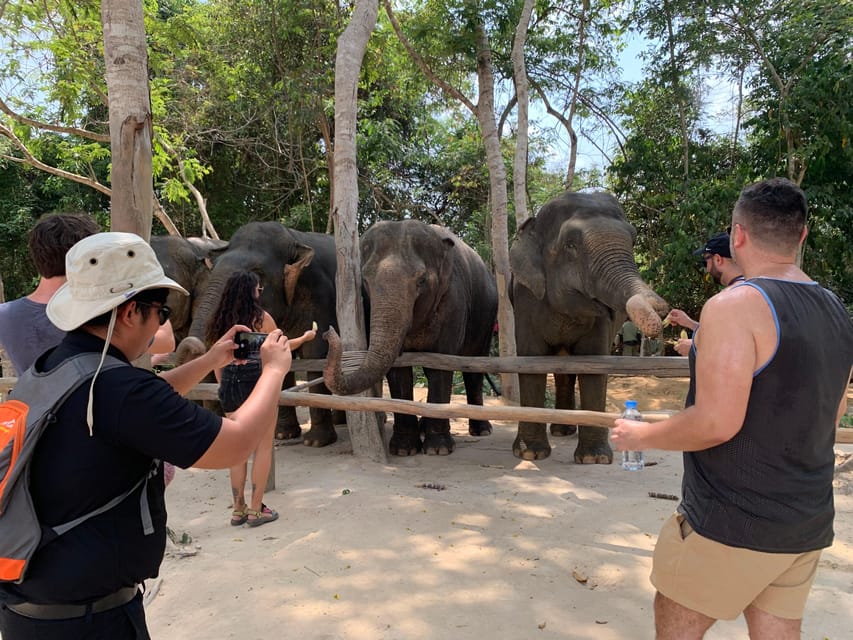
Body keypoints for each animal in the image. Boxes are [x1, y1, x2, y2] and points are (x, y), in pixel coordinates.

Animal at [185, 220, 342, 444]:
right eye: (212, 271)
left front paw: (316, 441)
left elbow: (316, 353)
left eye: (258, 276)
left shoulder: (323, 298)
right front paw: (283, 434)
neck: (295, 238)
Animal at [324, 220, 500, 456]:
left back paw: (481, 430)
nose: (327, 332)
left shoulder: (454, 302)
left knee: (474, 366)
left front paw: (438, 449)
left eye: (421, 281)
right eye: (365, 280)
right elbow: (398, 371)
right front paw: (403, 449)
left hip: (487, 318)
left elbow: (441, 364)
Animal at [510, 191, 668, 464]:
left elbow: (594, 364)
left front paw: (594, 459)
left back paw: (564, 430)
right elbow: (531, 363)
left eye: (633, 240)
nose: (661, 310)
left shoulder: (602, 321)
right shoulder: (525, 299)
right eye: (570, 245)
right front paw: (530, 454)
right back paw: (561, 431)